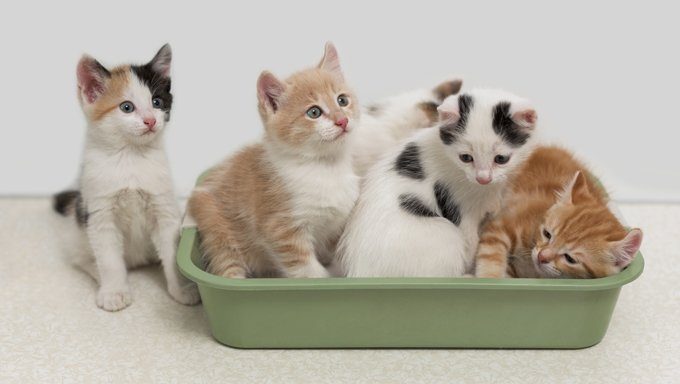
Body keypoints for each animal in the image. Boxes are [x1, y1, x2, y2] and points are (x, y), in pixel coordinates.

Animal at [53, 43, 199, 310]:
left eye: (156, 101)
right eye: (127, 107)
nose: (150, 120)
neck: (131, 157)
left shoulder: (164, 209)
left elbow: (172, 252)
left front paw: (181, 289)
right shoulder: (99, 214)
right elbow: (109, 260)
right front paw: (114, 292)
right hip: (77, 231)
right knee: (82, 259)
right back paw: (98, 273)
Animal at [186, 42, 362, 280]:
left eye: (342, 100)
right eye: (314, 112)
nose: (342, 120)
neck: (324, 167)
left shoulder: (337, 223)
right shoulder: (281, 228)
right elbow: (307, 269)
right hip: (218, 231)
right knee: (227, 265)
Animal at [338, 89, 540, 276]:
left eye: (501, 159)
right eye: (466, 158)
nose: (483, 178)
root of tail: (360, 272)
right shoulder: (457, 203)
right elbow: (470, 240)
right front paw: (472, 267)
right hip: (445, 235)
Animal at [472, 146, 644, 278]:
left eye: (570, 259)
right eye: (547, 234)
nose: (541, 256)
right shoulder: (502, 224)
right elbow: (491, 254)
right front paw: (489, 279)